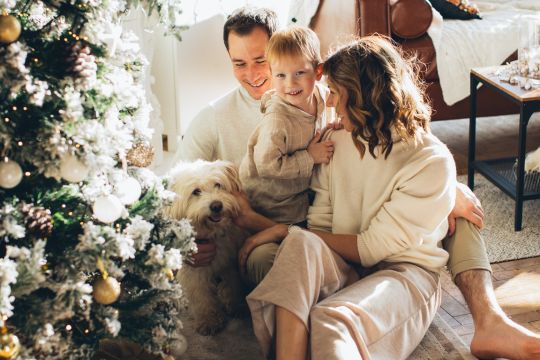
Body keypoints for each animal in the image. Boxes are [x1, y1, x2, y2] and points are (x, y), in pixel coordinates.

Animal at [166, 160, 248, 334]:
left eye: (218, 185)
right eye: (196, 191)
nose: (216, 206)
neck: (212, 234)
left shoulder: (229, 264)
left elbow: (232, 285)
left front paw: (236, 305)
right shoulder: (194, 272)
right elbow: (201, 297)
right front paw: (209, 320)